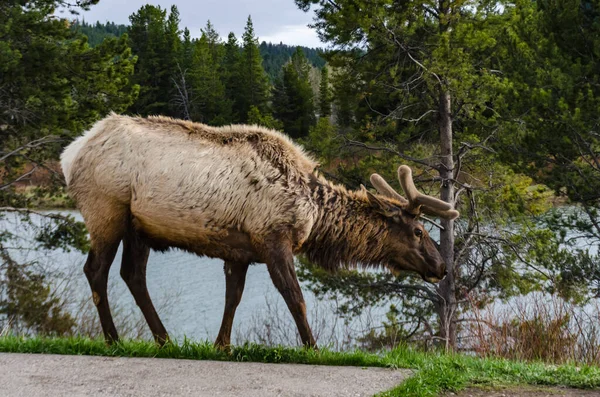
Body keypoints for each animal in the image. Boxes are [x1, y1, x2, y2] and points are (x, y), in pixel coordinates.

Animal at [61, 113, 460, 348]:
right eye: (419, 231)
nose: (442, 267)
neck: (313, 215)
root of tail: (70, 154)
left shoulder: (239, 251)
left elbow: (232, 299)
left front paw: (221, 345)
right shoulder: (274, 240)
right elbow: (295, 298)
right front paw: (313, 347)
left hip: (138, 228)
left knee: (132, 275)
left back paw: (164, 339)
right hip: (105, 212)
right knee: (95, 270)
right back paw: (113, 339)